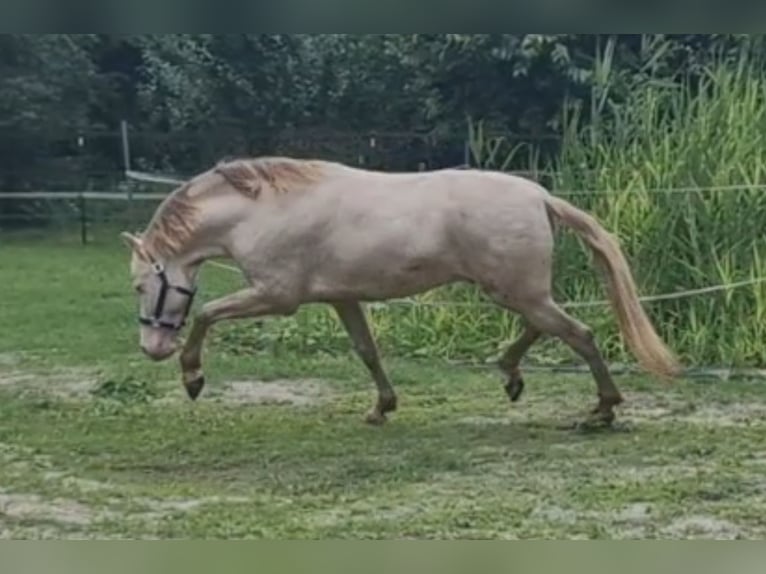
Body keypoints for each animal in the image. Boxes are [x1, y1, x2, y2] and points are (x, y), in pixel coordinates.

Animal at [121, 158, 684, 428]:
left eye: (140, 284)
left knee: (579, 333)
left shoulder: (277, 295)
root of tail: (540, 195)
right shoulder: (341, 297)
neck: (265, 210)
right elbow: (367, 351)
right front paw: (381, 408)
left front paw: (193, 378)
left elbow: (207, 314)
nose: (152, 349)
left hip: (515, 291)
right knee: (544, 329)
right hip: (514, 291)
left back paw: (602, 410)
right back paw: (511, 377)